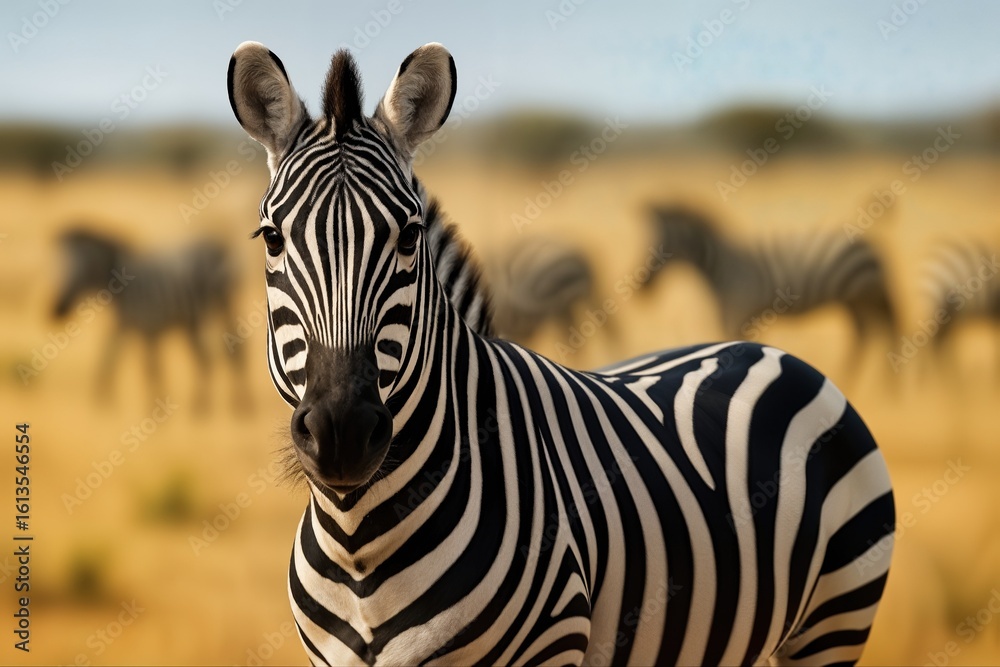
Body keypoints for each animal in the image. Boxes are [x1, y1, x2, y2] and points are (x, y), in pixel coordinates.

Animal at [53, 227, 248, 408]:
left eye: (81, 269)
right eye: (61, 269)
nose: (57, 311)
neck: (123, 289)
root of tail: (219, 246)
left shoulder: (149, 327)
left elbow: (150, 369)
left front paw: (155, 406)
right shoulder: (127, 326)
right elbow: (111, 357)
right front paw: (104, 401)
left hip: (212, 309)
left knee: (221, 354)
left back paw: (219, 404)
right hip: (202, 315)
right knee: (220, 354)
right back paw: (223, 404)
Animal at [640, 205, 898, 354]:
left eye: (661, 246)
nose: (643, 286)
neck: (723, 267)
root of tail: (870, 240)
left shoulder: (739, 317)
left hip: (869, 293)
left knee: (886, 330)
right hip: (855, 300)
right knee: (864, 334)